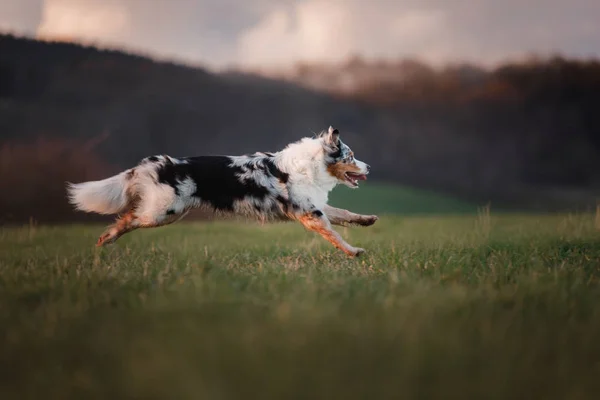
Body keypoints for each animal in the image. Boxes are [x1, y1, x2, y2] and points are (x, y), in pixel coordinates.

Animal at [68, 126, 378, 258]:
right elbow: (335, 234)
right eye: (351, 156)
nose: (369, 166)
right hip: (163, 212)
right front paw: (353, 252)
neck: (312, 165)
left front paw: (367, 220)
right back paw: (104, 240)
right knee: (126, 219)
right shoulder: (310, 213)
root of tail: (151, 164)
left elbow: (343, 214)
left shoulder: (314, 206)